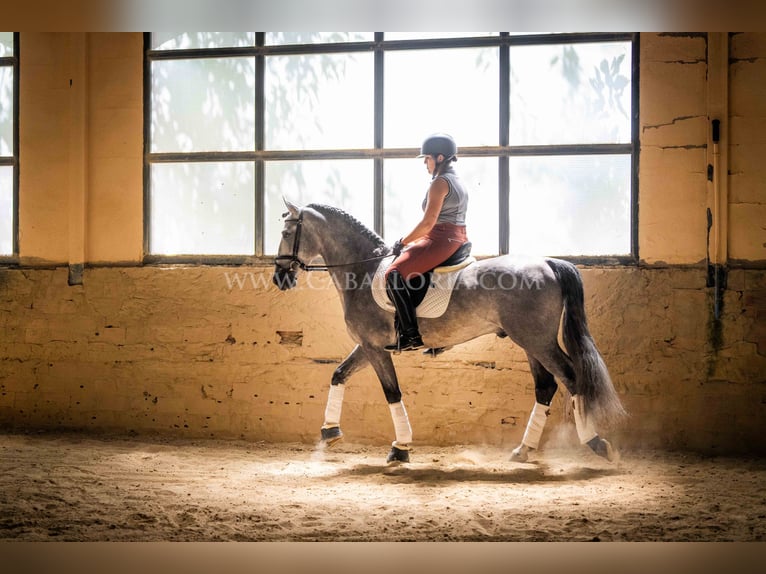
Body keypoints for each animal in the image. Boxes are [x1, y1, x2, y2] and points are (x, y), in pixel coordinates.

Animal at [272, 200, 628, 466]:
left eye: (287, 232)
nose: (279, 278)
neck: (364, 270)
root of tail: (548, 263)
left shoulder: (374, 348)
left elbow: (392, 393)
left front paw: (400, 448)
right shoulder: (368, 346)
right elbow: (338, 374)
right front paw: (330, 431)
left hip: (537, 341)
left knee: (571, 377)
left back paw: (596, 443)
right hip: (530, 342)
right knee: (546, 386)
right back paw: (524, 450)